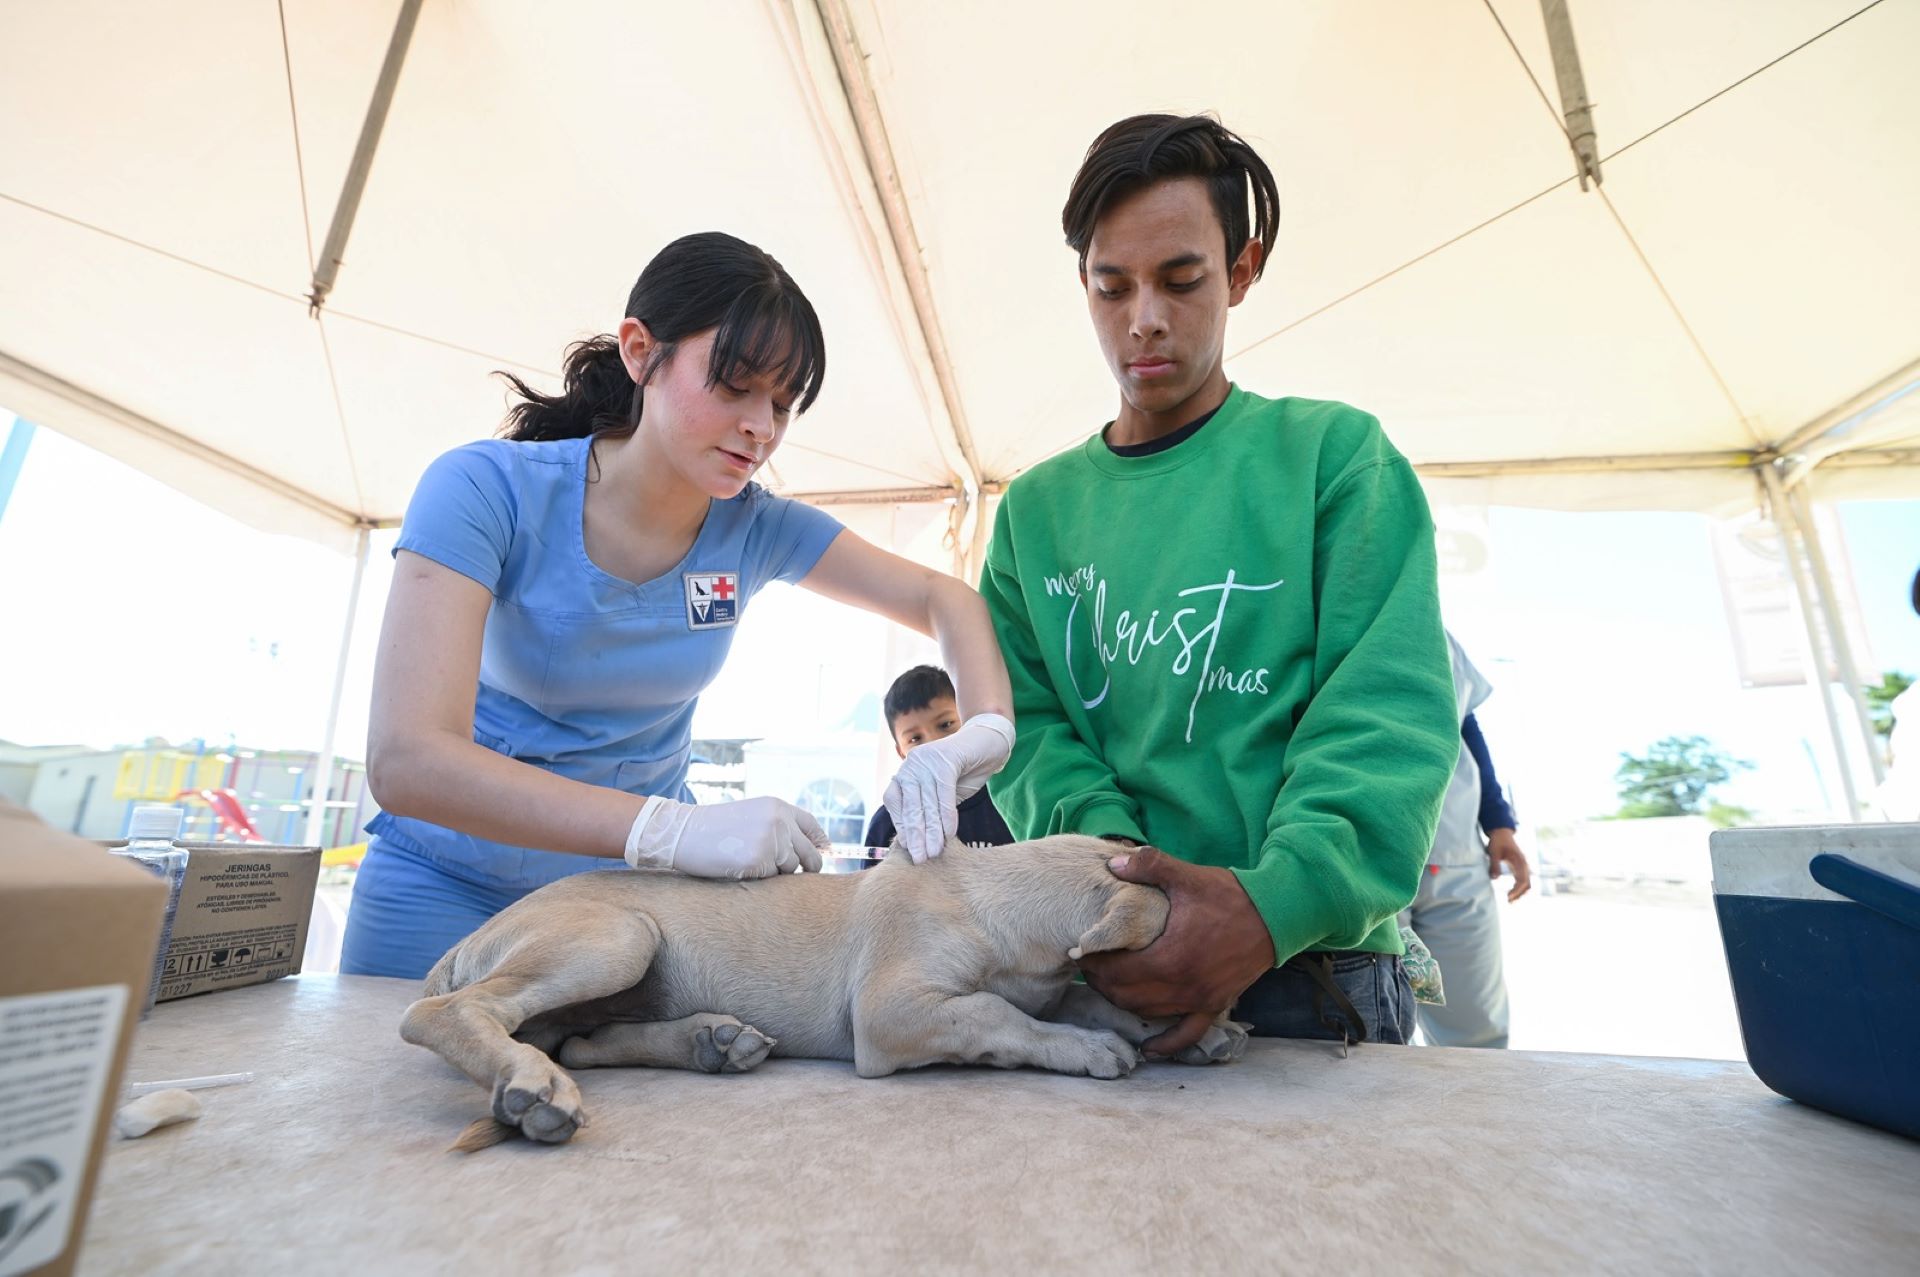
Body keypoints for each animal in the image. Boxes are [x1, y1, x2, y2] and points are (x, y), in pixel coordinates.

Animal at [397, 833, 1251, 1152]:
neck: (992, 895)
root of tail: (460, 947)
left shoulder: (1045, 981)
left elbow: (1076, 998)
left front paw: (1192, 1034)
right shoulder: (892, 1011)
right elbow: (999, 1014)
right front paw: (1090, 1048)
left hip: (622, 973)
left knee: (581, 1037)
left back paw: (713, 1041)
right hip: (616, 937)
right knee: (442, 1014)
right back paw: (532, 1085)